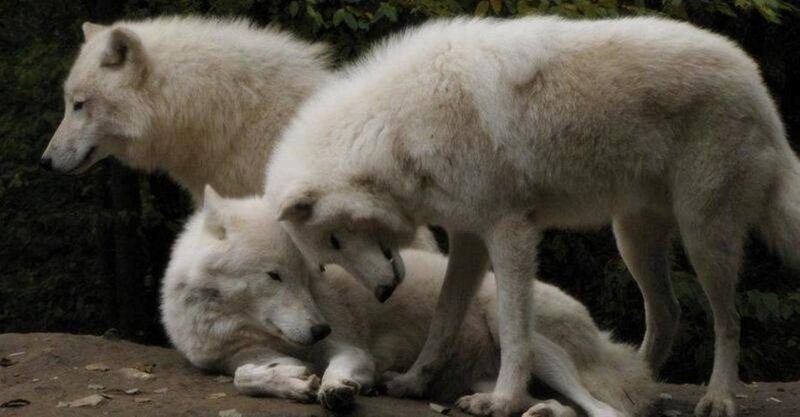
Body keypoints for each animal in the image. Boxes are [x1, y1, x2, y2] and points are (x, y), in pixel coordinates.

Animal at [161, 186, 655, 417]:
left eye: (309, 276)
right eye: (274, 276)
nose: (320, 329)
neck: (232, 325)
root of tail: (610, 344)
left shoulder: (352, 350)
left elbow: (339, 371)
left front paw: (336, 388)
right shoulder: (238, 358)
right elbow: (243, 375)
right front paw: (290, 380)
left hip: (514, 328)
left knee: (604, 409)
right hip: (481, 378)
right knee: (553, 405)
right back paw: (534, 410)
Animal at [265, 17, 797, 417]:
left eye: (335, 241)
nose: (382, 293)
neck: (396, 130)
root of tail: (755, 81)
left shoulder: (510, 233)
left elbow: (515, 330)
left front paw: (502, 400)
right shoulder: (468, 237)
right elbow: (443, 320)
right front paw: (414, 383)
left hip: (705, 236)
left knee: (728, 321)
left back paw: (718, 398)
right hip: (632, 239)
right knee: (667, 313)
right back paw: (637, 380)